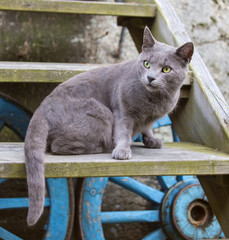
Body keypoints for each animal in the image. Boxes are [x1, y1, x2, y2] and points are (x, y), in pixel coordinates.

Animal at [24, 27, 193, 226]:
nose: (150, 77)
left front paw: (152, 140)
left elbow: (147, 127)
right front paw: (123, 150)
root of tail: (41, 108)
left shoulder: (150, 119)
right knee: (58, 145)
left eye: (166, 69)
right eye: (146, 64)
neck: (154, 101)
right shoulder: (123, 111)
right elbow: (124, 132)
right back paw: (102, 146)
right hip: (101, 113)